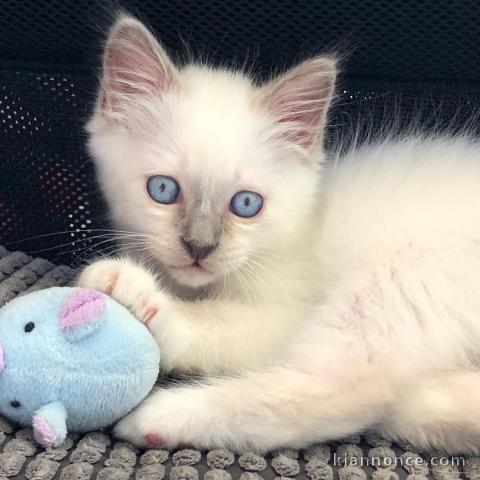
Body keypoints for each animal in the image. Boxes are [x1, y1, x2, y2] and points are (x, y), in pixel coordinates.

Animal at [78, 13, 480, 452]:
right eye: (163, 190)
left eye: (246, 204)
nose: (199, 247)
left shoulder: (289, 310)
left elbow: (217, 321)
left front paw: (135, 293)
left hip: (398, 280)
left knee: (345, 391)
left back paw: (161, 416)